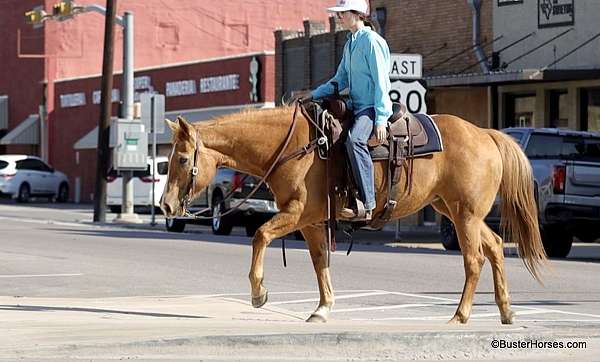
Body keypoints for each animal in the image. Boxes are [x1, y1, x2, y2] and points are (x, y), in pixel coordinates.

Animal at [161, 106, 548, 324]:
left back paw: (460, 315)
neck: (293, 147)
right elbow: (320, 261)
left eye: (180, 159)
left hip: (464, 214)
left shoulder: (298, 212)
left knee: (474, 259)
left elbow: (260, 235)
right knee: (495, 246)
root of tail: (485, 133)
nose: (165, 205)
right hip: (456, 210)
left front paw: (259, 293)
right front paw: (322, 309)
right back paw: (506, 311)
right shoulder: (311, 222)